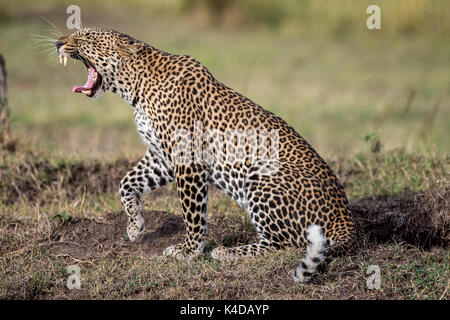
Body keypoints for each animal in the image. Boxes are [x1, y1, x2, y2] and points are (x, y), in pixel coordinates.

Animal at [55, 28, 356, 282]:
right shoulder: (162, 156)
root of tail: (347, 220)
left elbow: (193, 213)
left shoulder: (188, 159)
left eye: (85, 36)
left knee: (286, 244)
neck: (135, 88)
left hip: (261, 172)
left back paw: (227, 252)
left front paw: (189, 251)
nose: (58, 43)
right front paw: (135, 226)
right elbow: (126, 182)